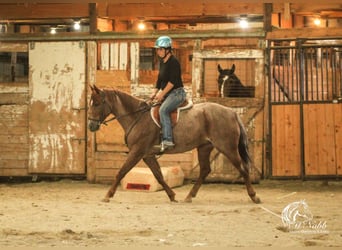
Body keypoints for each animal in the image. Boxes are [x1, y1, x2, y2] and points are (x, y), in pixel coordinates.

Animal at [87, 85, 260, 204]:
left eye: (97, 103)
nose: (91, 125)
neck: (137, 117)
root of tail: (232, 112)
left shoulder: (137, 152)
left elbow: (121, 172)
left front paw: (107, 195)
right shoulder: (148, 155)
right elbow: (159, 176)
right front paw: (172, 195)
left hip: (227, 147)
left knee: (243, 168)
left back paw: (254, 196)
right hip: (204, 147)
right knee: (205, 170)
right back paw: (189, 196)